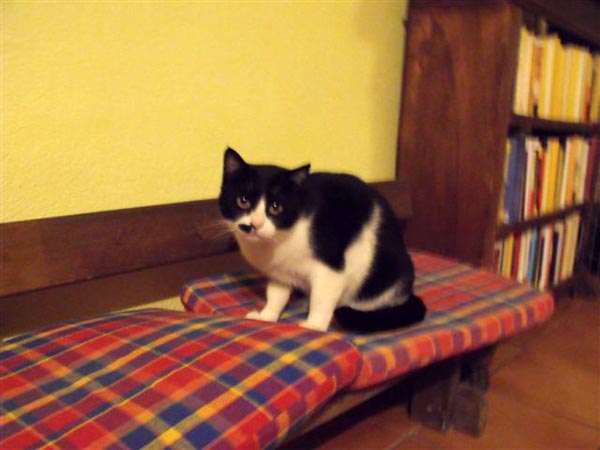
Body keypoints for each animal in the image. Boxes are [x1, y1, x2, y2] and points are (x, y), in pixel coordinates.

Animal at [218, 147, 427, 333]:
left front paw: (314, 326)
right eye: (243, 201)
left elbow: (322, 299)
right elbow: (276, 295)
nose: (255, 224)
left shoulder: (331, 270)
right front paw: (266, 316)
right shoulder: (280, 273)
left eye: (276, 207)